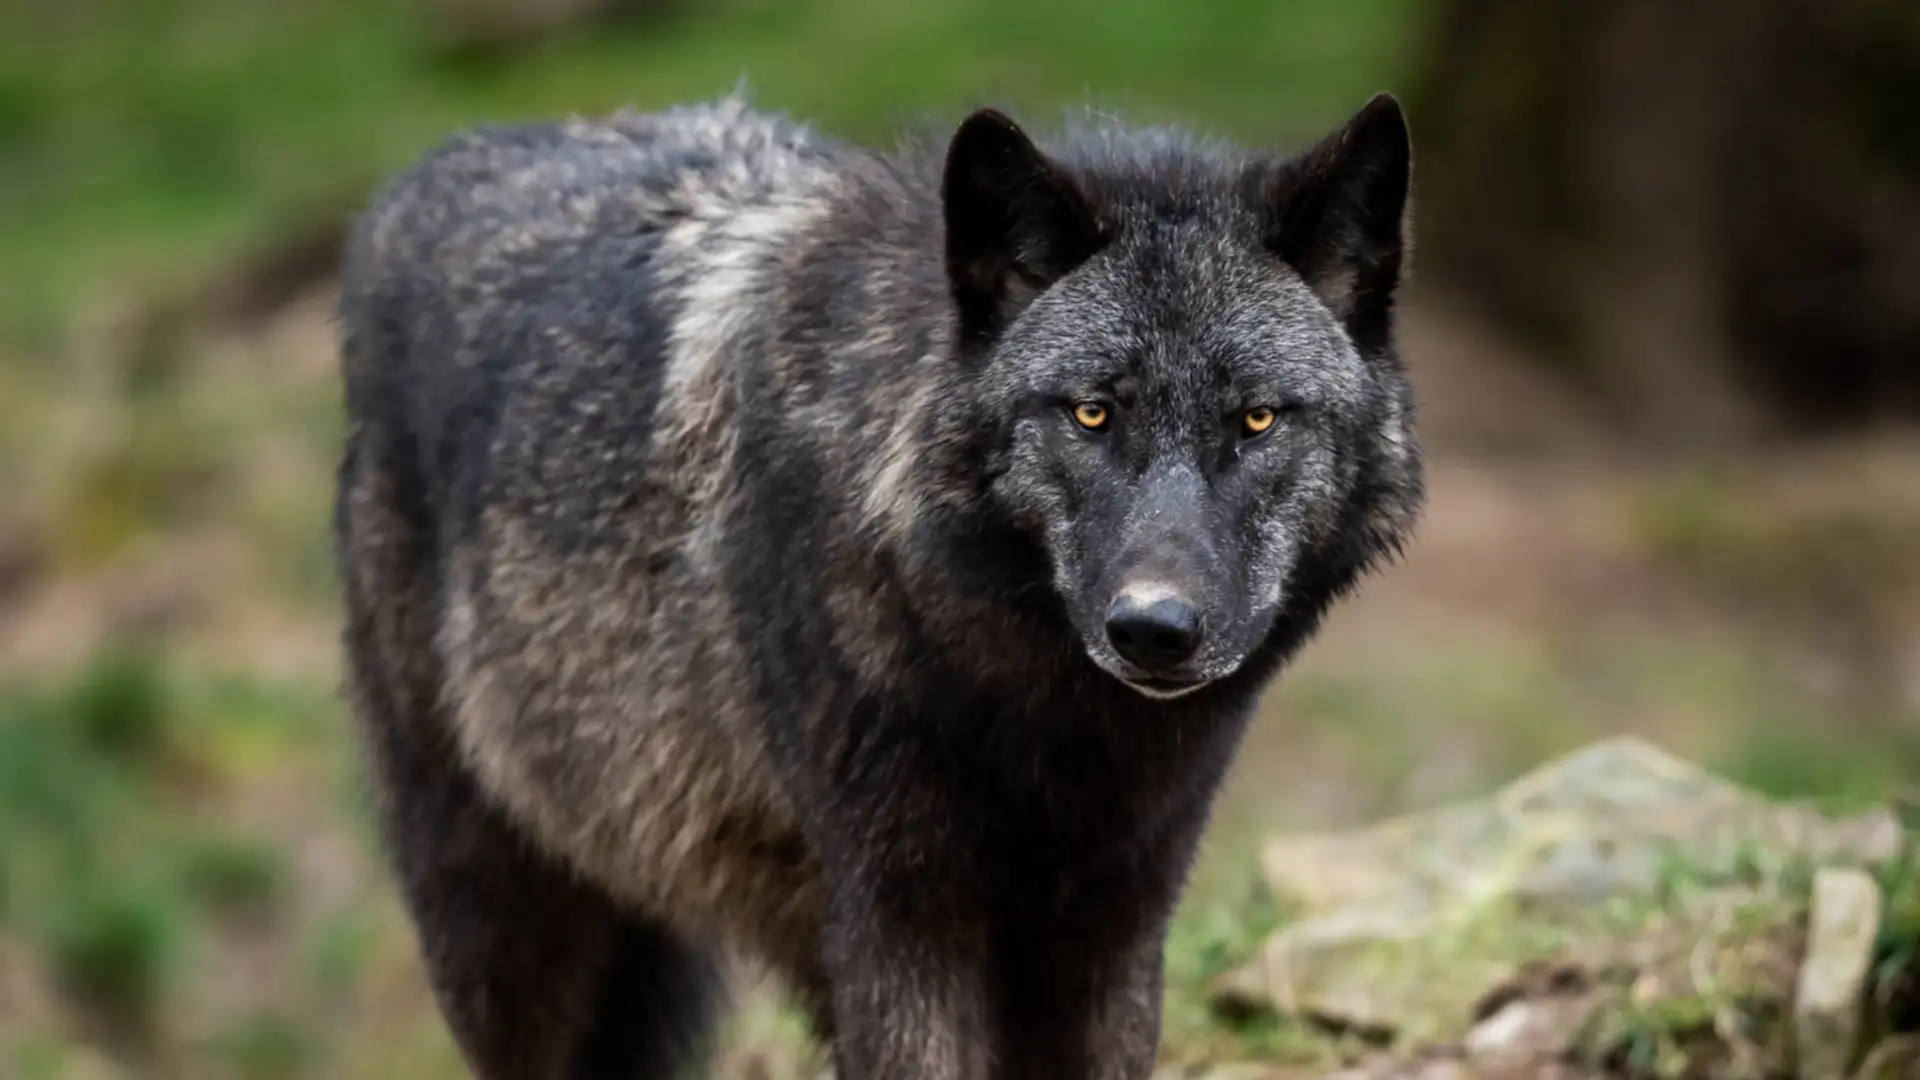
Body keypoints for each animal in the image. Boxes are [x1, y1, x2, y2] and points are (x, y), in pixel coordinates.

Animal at [332, 87, 1422, 1080]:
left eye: (1257, 420)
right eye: (1092, 413)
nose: (1155, 628)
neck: (1036, 721)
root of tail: (422, 178)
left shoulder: (1115, 925)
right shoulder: (897, 923)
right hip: (500, 935)